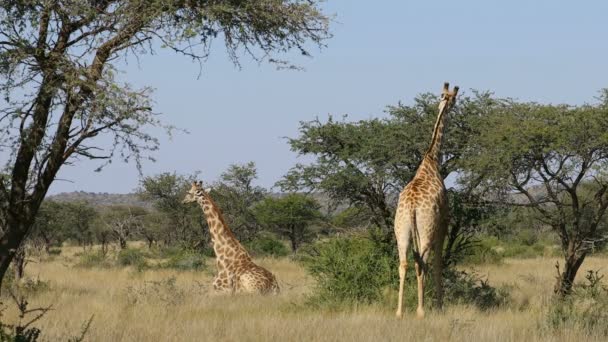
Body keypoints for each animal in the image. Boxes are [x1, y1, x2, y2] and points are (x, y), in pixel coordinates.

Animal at [392, 82, 458, 318]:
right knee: (422, 262)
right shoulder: (443, 224)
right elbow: (439, 265)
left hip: (402, 230)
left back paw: (399, 312)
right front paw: (439, 305)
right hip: (426, 230)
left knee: (404, 263)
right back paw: (421, 311)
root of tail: (411, 206)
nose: (451, 103)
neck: (431, 158)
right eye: (453, 98)